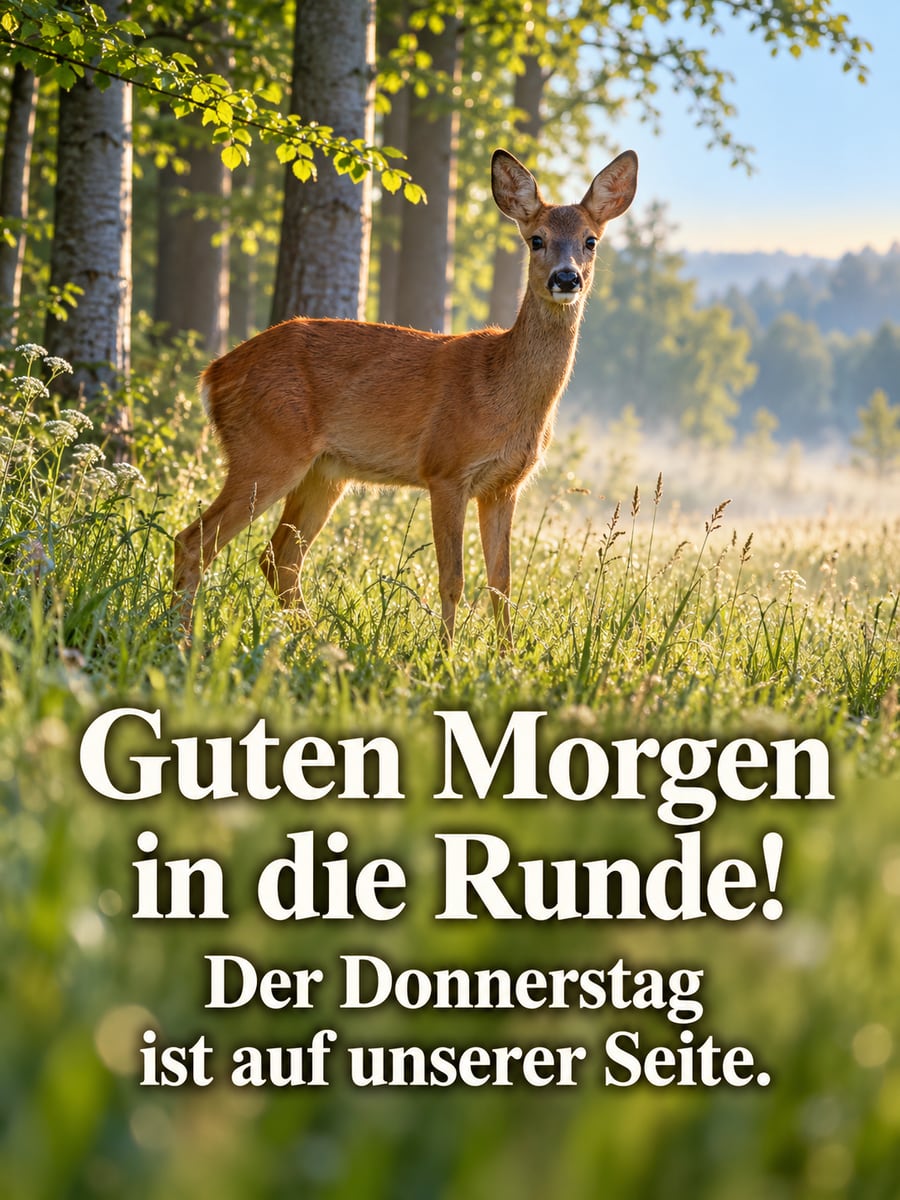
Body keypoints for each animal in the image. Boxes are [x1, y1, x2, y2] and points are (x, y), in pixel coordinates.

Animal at [173, 147, 638, 647]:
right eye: (536, 239)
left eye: (590, 241)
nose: (566, 278)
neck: (501, 389)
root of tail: (214, 373)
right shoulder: (446, 469)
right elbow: (452, 578)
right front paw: (447, 654)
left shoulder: (505, 484)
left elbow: (503, 582)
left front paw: (507, 657)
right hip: (266, 448)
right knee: (195, 541)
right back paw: (182, 639)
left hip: (324, 472)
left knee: (279, 558)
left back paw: (314, 641)